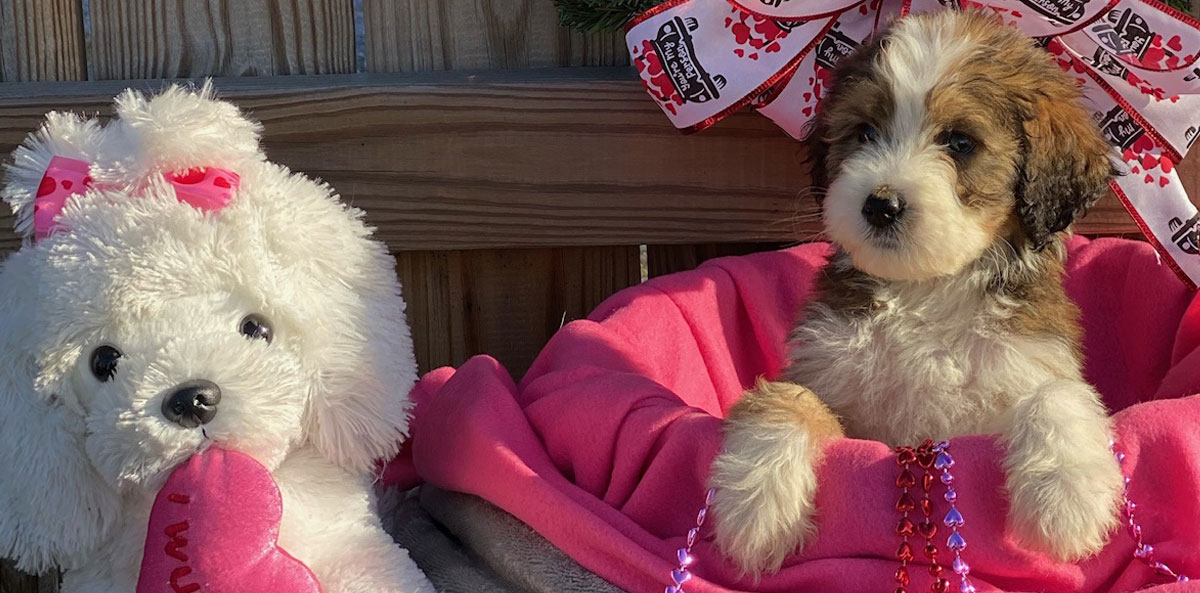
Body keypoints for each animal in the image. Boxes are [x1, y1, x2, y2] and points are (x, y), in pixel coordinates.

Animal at [705, 8, 1118, 573]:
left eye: (960, 142)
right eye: (864, 132)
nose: (880, 205)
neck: (925, 292)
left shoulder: (1029, 360)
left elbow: (1056, 393)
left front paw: (1068, 496)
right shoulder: (829, 380)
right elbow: (788, 396)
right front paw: (757, 505)